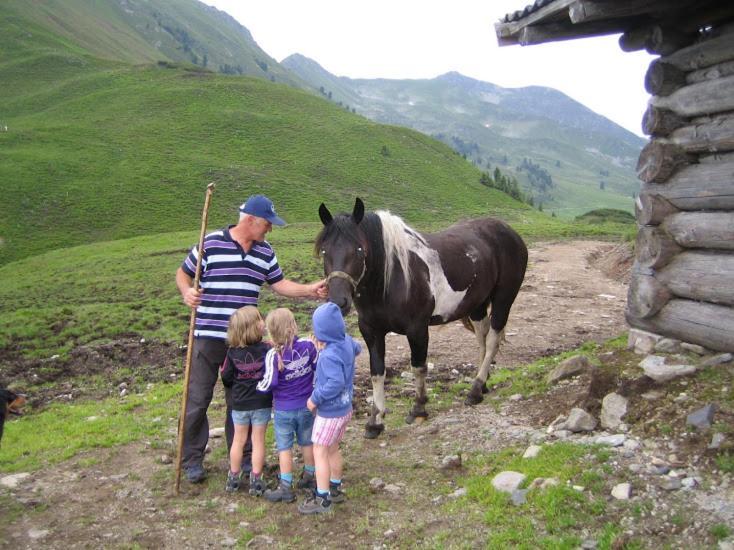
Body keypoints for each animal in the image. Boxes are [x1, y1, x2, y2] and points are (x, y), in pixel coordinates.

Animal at [316, 198, 528, 440]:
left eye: (359, 250)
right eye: (324, 251)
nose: (338, 300)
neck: (391, 278)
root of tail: (510, 232)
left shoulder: (417, 329)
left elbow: (418, 367)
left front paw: (418, 408)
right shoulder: (371, 332)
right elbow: (377, 373)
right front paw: (375, 421)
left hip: (504, 299)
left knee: (492, 340)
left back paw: (475, 390)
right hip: (478, 305)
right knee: (482, 340)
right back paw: (482, 383)